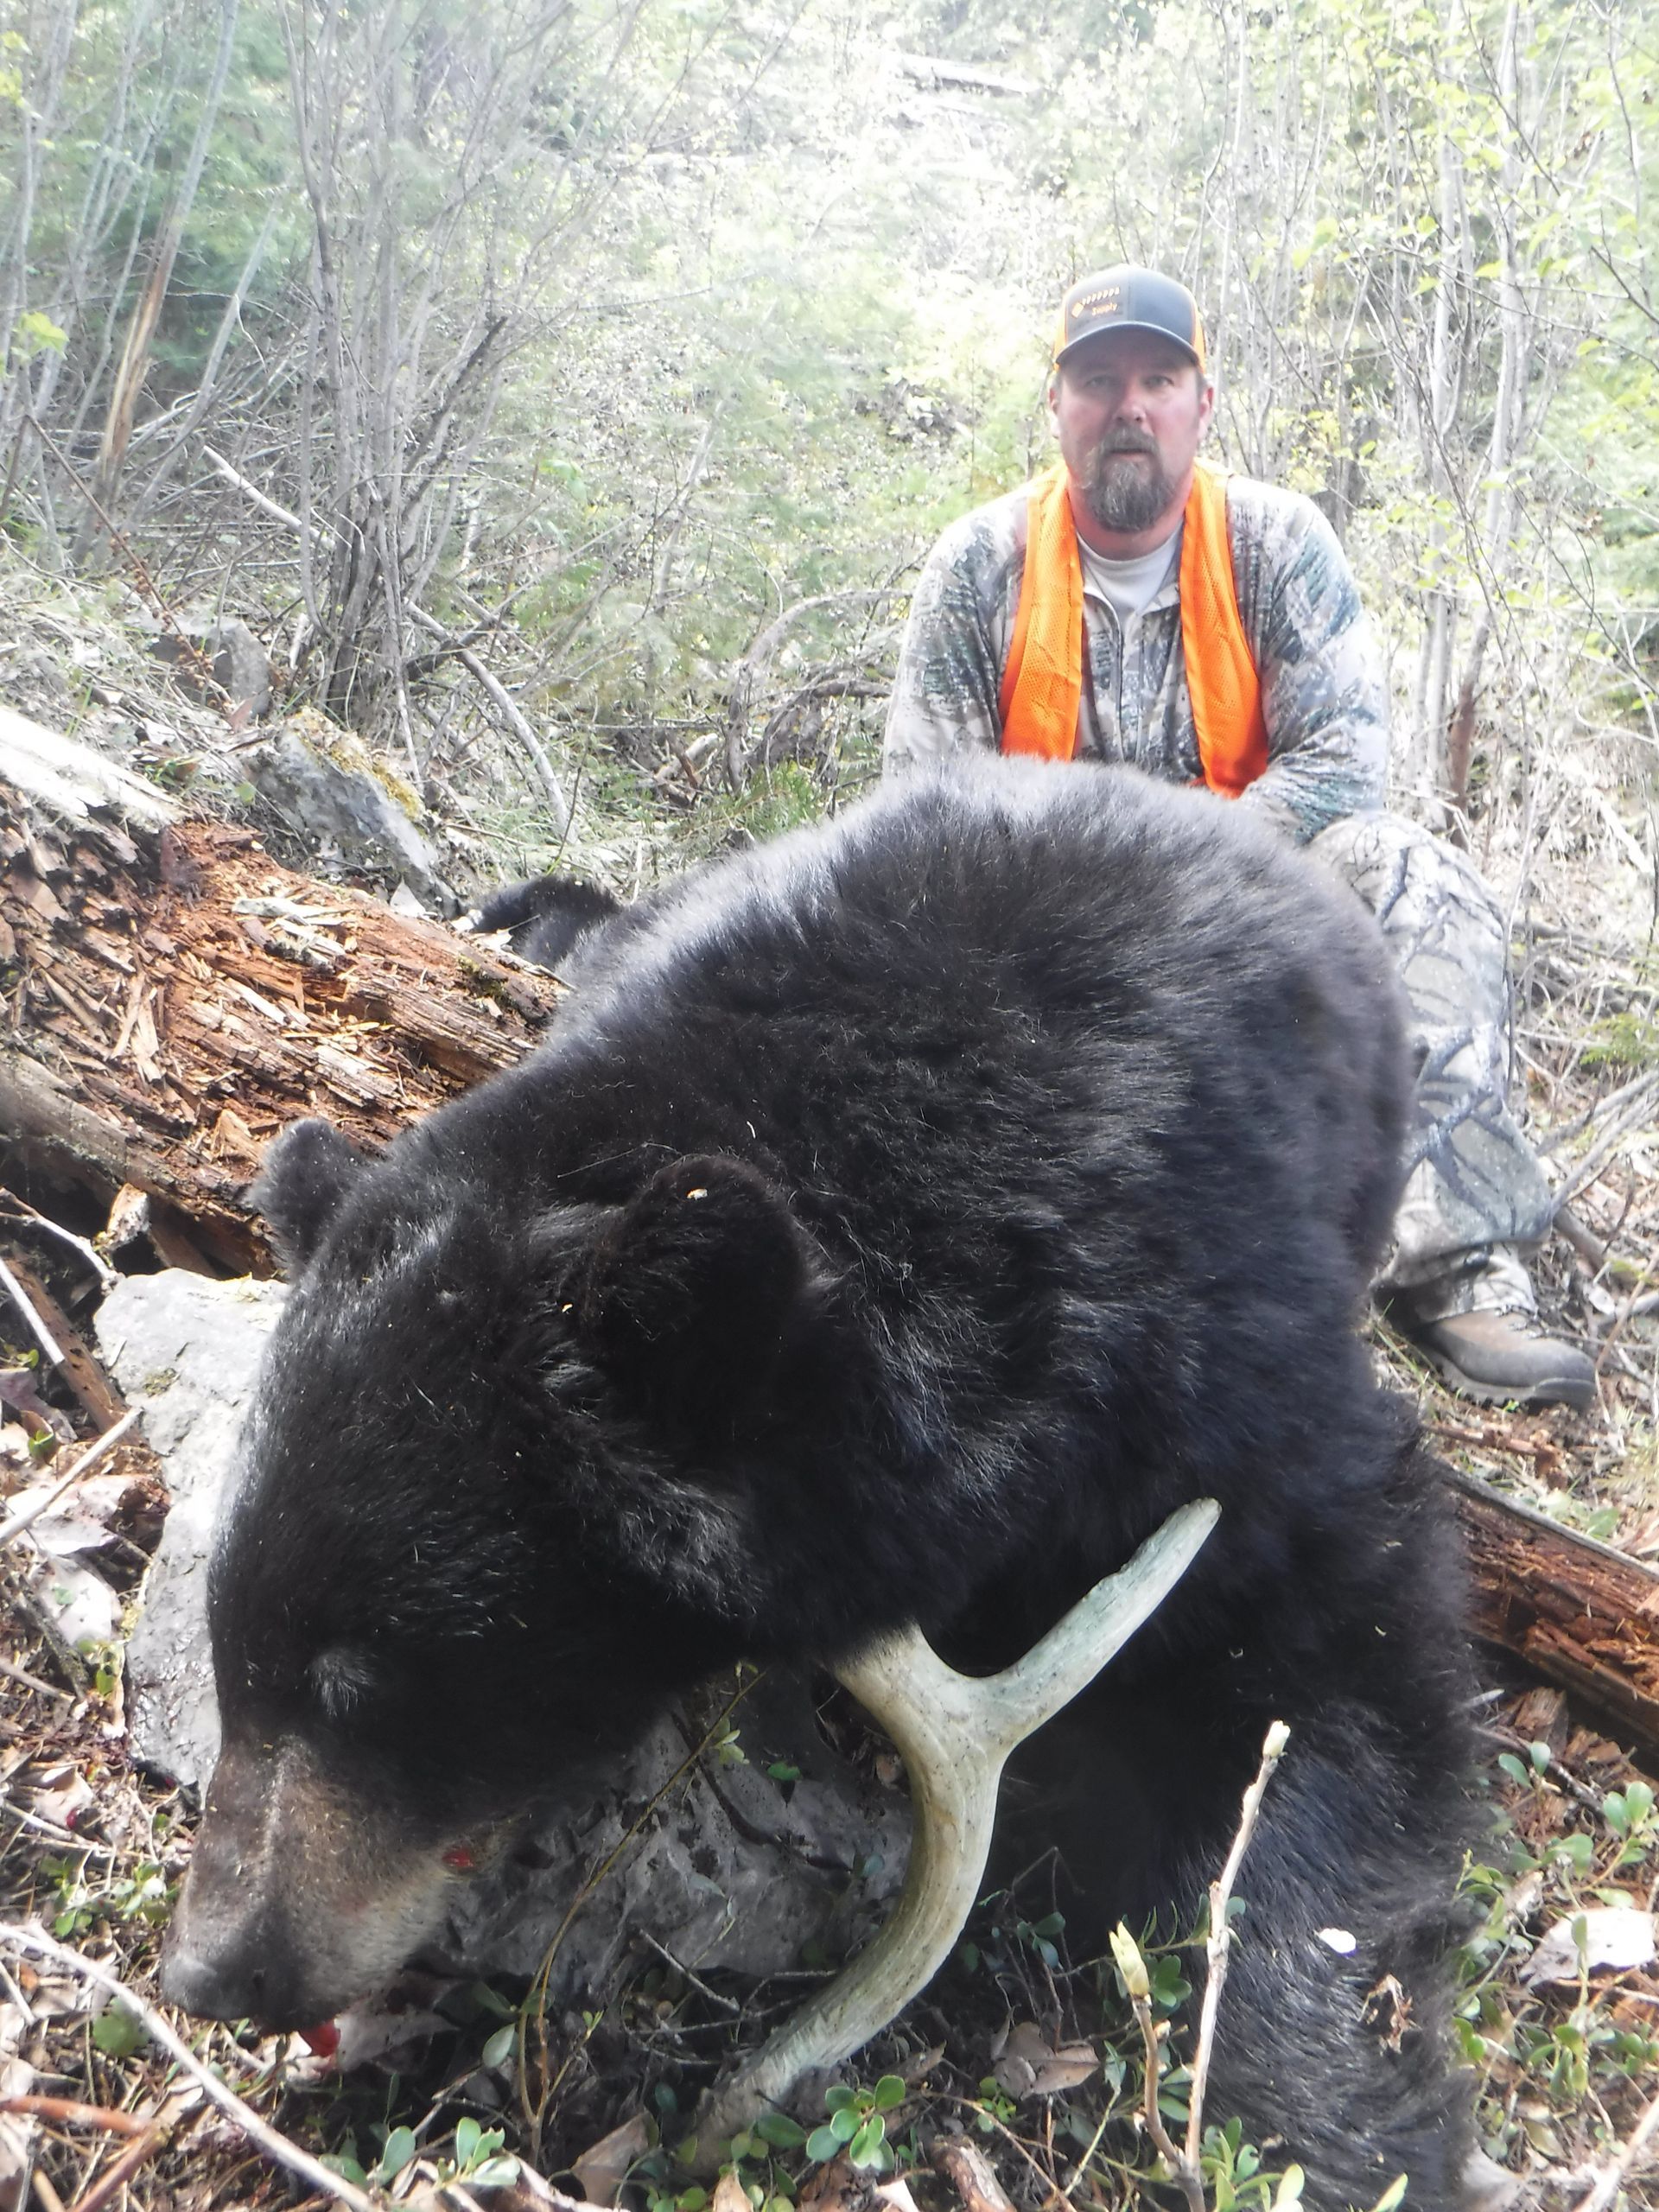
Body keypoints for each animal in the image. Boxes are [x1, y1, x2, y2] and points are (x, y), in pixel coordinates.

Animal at [161, 758, 1472, 2210]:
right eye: (227, 1644)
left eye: (368, 1681)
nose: (212, 1969)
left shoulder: (1212, 1369)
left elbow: (1333, 1639)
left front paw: (1359, 2126)